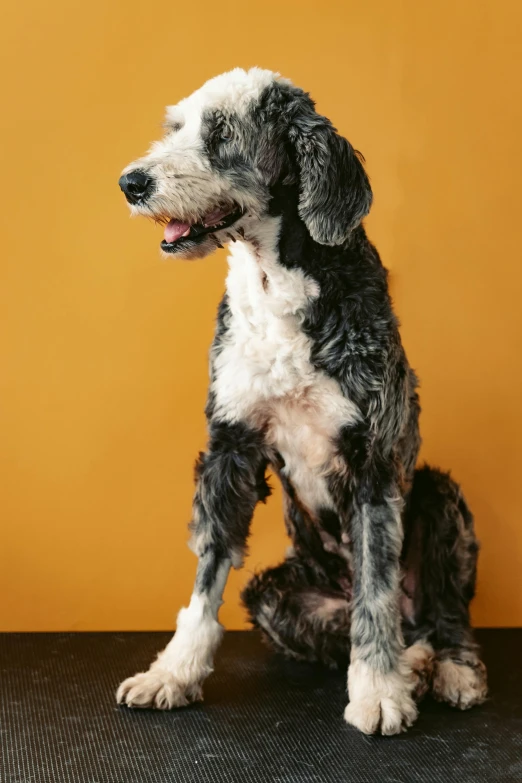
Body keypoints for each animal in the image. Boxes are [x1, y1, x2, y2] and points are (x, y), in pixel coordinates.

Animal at [116, 67, 486, 736]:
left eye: (222, 135)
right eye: (176, 127)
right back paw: (413, 664)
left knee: (438, 614)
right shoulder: (229, 447)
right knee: (359, 625)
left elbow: (375, 593)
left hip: (439, 496)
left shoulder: (372, 463)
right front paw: (173, 674)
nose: (132, 182)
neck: (274, 285)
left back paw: (448, 669)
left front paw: (378, 694)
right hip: (273, 595)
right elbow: (206, 578)